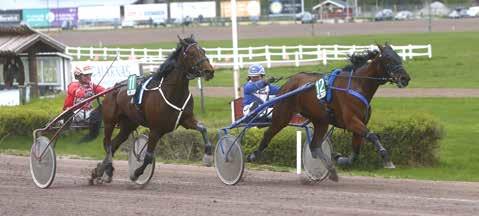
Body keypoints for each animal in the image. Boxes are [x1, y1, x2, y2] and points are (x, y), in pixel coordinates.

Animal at [89, 35, 216, 184]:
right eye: (191, 54)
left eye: (203, 51)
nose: (209, 71)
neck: (172, 92)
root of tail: (112, 88)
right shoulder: (155, 129)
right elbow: (148, 156)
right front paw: (136, 173)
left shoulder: (186, 119)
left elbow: (203, 128)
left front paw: (208, 157)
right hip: (110, 122)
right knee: (108, 144)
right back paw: (104, 169)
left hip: (128, 124)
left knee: (114, 144)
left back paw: (102, 171)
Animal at [248, 43, 412, 181]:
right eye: (389, 59)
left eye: (399, 57)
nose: (405, 78)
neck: (357, 84)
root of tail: (288, 83)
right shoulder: (351, 121)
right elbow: (372, 135)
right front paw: (386, 158)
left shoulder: (359, 123)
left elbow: (356, 152)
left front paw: (340, 158)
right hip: (282, 115)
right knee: (268, 134)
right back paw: (253, 155)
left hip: (321, 121)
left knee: (315, 146)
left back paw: (331, 170)